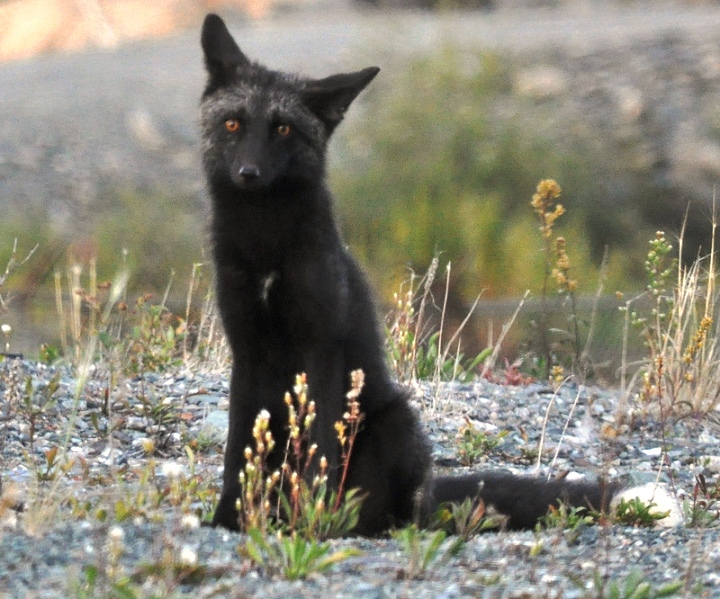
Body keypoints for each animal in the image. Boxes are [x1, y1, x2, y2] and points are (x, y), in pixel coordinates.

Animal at [201, 14, 612, 536]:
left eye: (283, 129)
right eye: (233, 123)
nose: (248, 173)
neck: (265, 248)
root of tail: (431, 498)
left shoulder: (321, 347)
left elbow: (319, 448)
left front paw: (313, 517)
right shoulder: (246, 349)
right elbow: (238, 449)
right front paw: (229, 517)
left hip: (395, 421)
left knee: (386, 513)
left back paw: (342, 520)